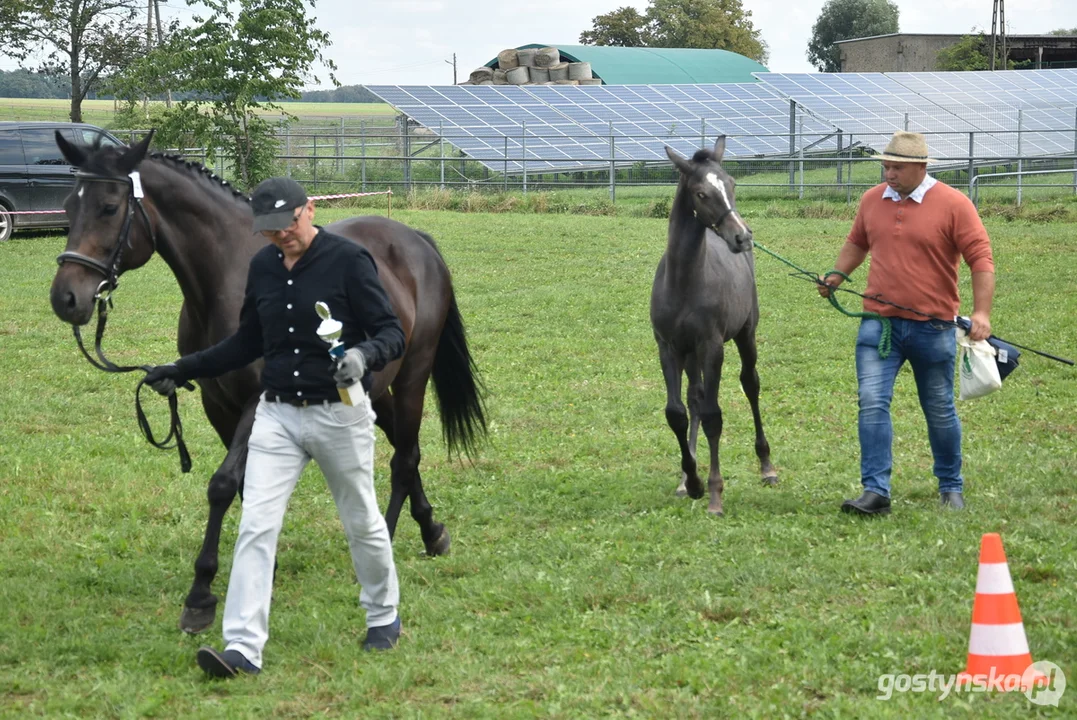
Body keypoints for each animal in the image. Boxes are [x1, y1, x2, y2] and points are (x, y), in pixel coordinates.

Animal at [48, 131, 486, 632]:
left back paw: (389, 544)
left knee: (405, 458)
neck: (228, 277)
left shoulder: (259, 401)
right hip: (371, 388)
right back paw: (432, 532)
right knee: (405, 453)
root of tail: (416, 240)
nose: (67, 298)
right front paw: (260, 564)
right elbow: (243, 487)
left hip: (414, 374)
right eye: (68, 205)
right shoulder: (217, 405)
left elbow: (222, 485)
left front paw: (201, 593)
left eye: (108, 207)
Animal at [646, 136, 775, 516]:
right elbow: (677, 412)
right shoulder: (668, 347)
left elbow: (714, 415)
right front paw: (692, 481)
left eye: (732, 184)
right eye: (701, 193)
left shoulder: (712, 346)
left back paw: (767, 467)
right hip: (690, 354)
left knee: (750, 384)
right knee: (694, 397)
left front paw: (715, 494)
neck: (685, 281)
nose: (742, 237)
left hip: (745, 336)